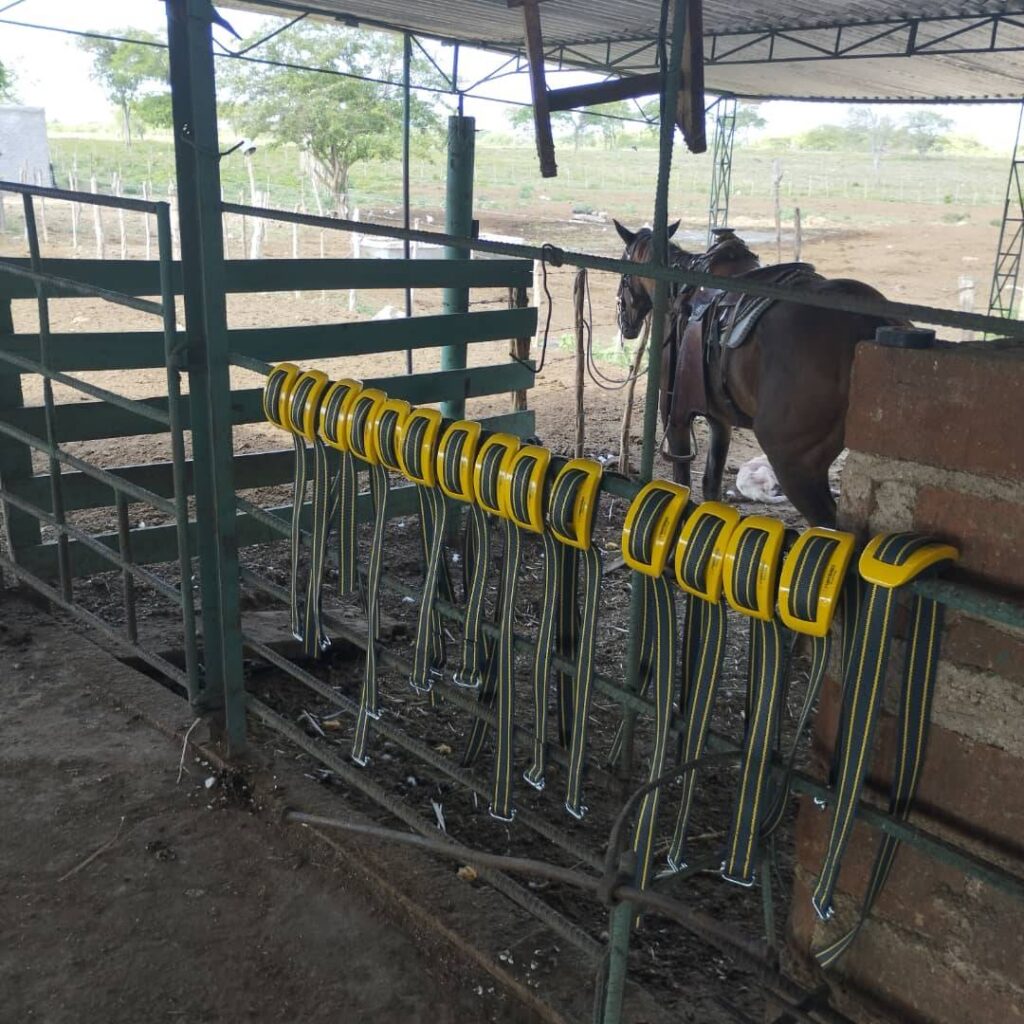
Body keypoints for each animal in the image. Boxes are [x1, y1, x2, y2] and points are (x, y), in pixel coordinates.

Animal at [610, 224, 901, 528]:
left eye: (624, 276)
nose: (626, 324)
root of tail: (871, 326)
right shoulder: (720, 419)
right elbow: (711, 486)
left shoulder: (675, 415)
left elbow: (684, 484)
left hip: (794, 463)